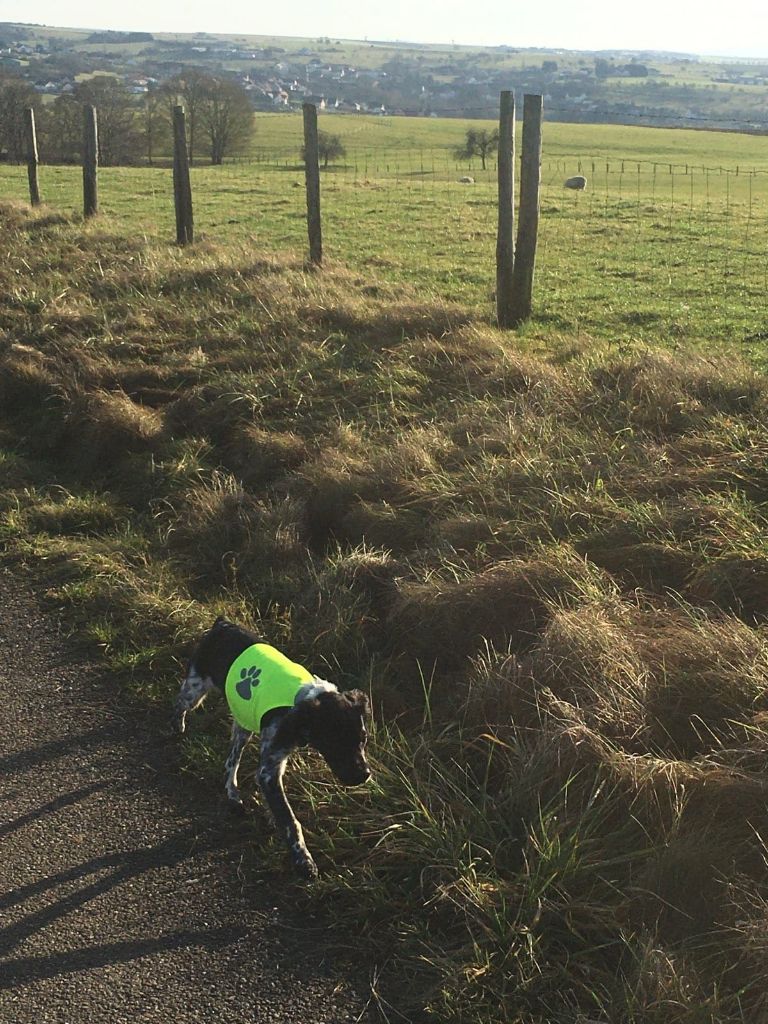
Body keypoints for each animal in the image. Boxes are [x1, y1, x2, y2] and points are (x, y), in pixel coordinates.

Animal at [178, 614, 376, 880]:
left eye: (363, 739)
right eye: (336, 743)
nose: (364, 775)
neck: (299, 704)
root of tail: (222, 624)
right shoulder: (269, 769)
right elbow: (290, 820)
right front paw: (303, 860)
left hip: (243, 722)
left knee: (231, 761)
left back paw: (233, 795)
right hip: (196, 690)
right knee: (180, 704)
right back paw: (176, 726)